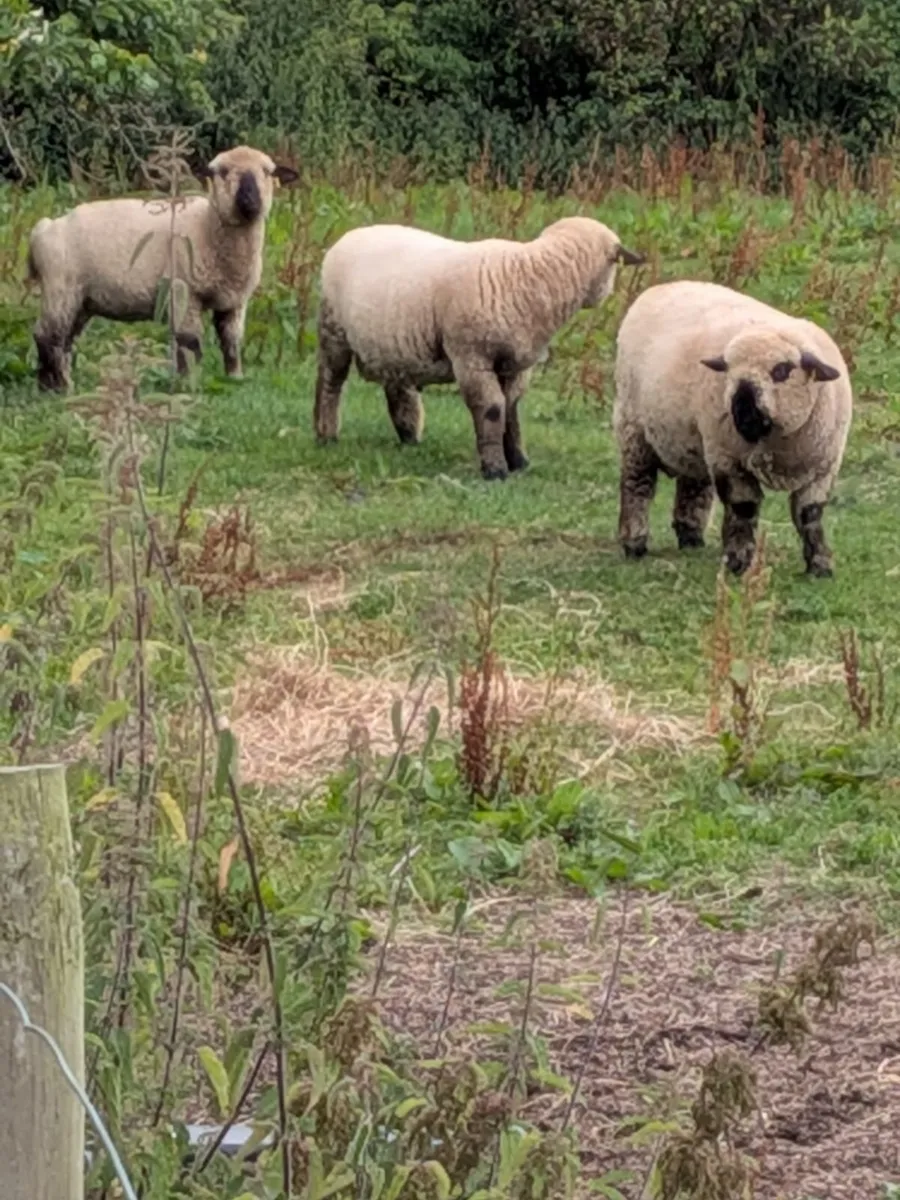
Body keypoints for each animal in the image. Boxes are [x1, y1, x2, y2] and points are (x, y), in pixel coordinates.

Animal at [26, 145, 298, 391]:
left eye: (267, 172)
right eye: (222, 171)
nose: (249, 201)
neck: (207, 226)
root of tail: (46, 227)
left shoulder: (234, 301)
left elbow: (231, 342)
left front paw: (235, 378)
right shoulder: (184, 291)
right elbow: (189, 343)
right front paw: (187, 385)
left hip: (81, 300)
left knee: (65, 339)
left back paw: (53, 384)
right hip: (60, 289)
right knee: (47, 336)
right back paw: (58, 387)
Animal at [314, 216, 644, 479]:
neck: (533, 277)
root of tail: (348, 235)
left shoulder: (516, 364)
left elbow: (512, 409)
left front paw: (518, 460)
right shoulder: (471, 357)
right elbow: (492, 409)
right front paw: (495, 469)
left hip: (394, 339)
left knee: (397, 383)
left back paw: (409, 436)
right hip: (334, 330)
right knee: (330, 383)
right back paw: (325, 434)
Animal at [613, 280, 853, 577]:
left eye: (782, 370)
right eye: (728, 371)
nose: (743, 412)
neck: (776, 444)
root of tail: (662, 286)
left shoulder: (824, 466)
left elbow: (809, 513)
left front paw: (820, 566)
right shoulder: (730, 461)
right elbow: (743, 508)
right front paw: (738, 562)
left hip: (695, 439)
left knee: (693, 484)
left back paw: (691, 537)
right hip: (634, 428)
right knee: (637, 485)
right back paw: (634, 543)